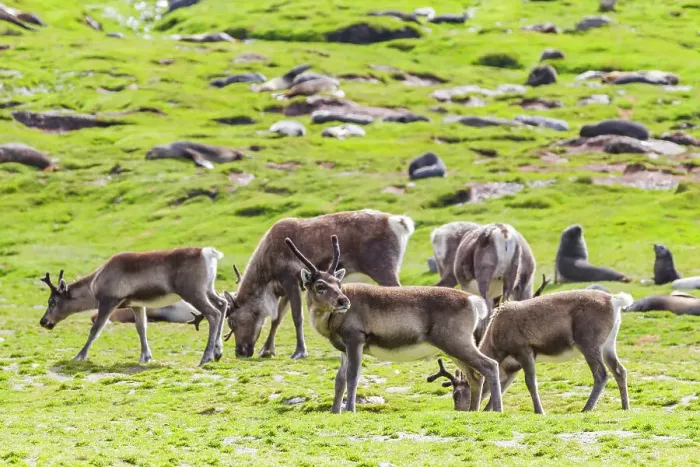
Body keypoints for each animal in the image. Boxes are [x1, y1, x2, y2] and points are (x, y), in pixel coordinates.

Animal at [39, 247, 228, 366]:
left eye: (52, 301)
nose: (43, 321)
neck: (94, 285)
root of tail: (208, 253)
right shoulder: (137, 304)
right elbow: (141, 328)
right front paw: (145, 356)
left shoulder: (109, 301)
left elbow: (95, 330)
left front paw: (79, 356)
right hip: (208, 289)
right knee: (223, 303)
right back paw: (218, 351)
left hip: (192, 292)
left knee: (213, 313)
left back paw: (206, 357)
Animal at [218, 210, 415, 359]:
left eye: (232, 321)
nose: (240, 352)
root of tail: (399, 222)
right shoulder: (288, 287)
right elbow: (277, 318)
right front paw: (267, 350)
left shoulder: (291, 279)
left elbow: (297, 317)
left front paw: (299, 352)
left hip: (383, 268)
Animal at [284, 235, 503, 414]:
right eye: (320, 285)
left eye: (338, 284)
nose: (343, 301)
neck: (330, 322)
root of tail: (474, 301)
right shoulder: (343, 347)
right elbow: (339, 380)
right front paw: (334, 411)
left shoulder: (356, 338)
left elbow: (353, 377)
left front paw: (350, 410)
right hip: (453, 346)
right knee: (475, 376)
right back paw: (473, 410)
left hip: (455, 341)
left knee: (490, 365)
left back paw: (497, 409)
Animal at [465, 289, 633, 414]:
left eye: (465, 386)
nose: (469, 409)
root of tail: (615, 301)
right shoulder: (512, 366)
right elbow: (503, 385)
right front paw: (489, 409)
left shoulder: (524, 350)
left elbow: (530, 382)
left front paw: (539, 411)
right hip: (608, 345)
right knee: (620, 370)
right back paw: (625, 407)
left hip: (589, 344)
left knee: (601, 374)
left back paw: (586, 409)